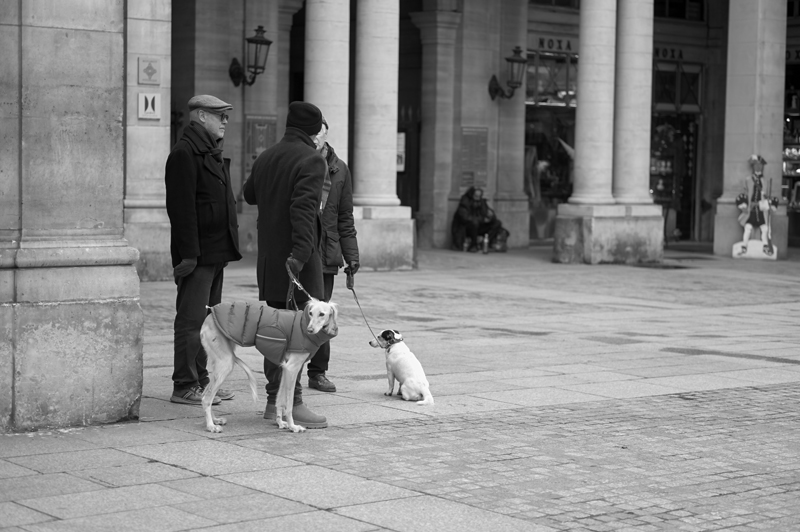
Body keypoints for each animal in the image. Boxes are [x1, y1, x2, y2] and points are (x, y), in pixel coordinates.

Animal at [200, 298, 338, 433]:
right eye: (310, 313)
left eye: (321, 314)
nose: (309, 330)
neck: (301, 324)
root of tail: (209, 316)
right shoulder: (292, 369)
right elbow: (289, 403)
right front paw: (293, 426)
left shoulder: (285, 369)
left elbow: (279, 399)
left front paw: (281, 423)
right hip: (225, 363)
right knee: (206, 398)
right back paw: (210, 426)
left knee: (205, 394)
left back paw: (215, 420)